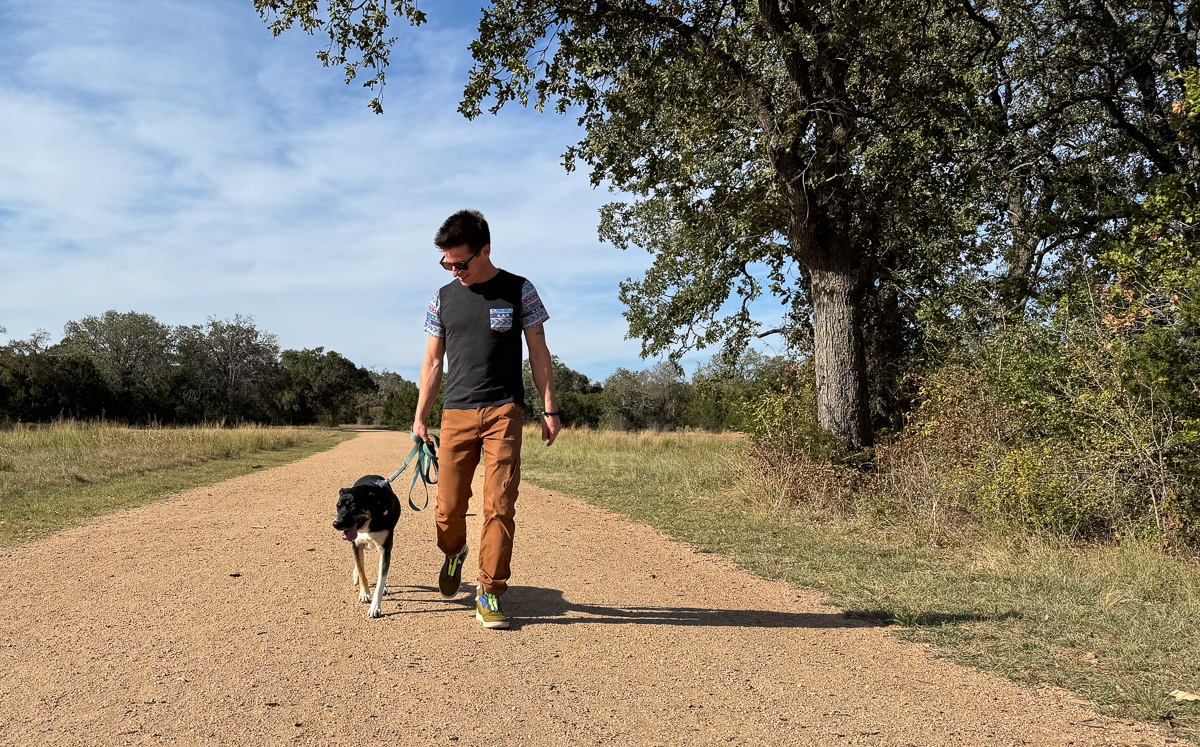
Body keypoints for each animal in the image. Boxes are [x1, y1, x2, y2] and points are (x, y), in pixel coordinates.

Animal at [331, 480, 400, 619]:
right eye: (338, 506)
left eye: (352, 506)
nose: (335, 524)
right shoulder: (356, 545)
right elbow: (362, 572)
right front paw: (364, 594)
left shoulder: (385, 549)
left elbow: (380, 579)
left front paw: (375, 607)